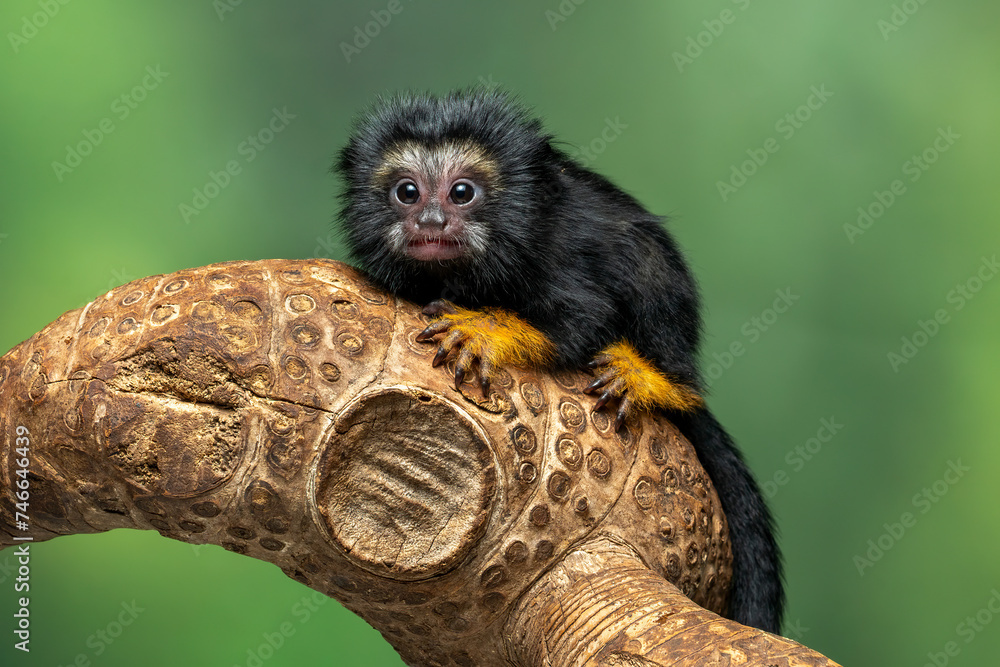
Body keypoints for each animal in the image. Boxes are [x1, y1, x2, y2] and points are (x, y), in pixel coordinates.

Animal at [335, 88, 784, 634]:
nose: (430, 222)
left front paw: (484, 331)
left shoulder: (558, 261)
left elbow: (581, 322)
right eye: (407, 192)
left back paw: (652, 379)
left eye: (461, 192)